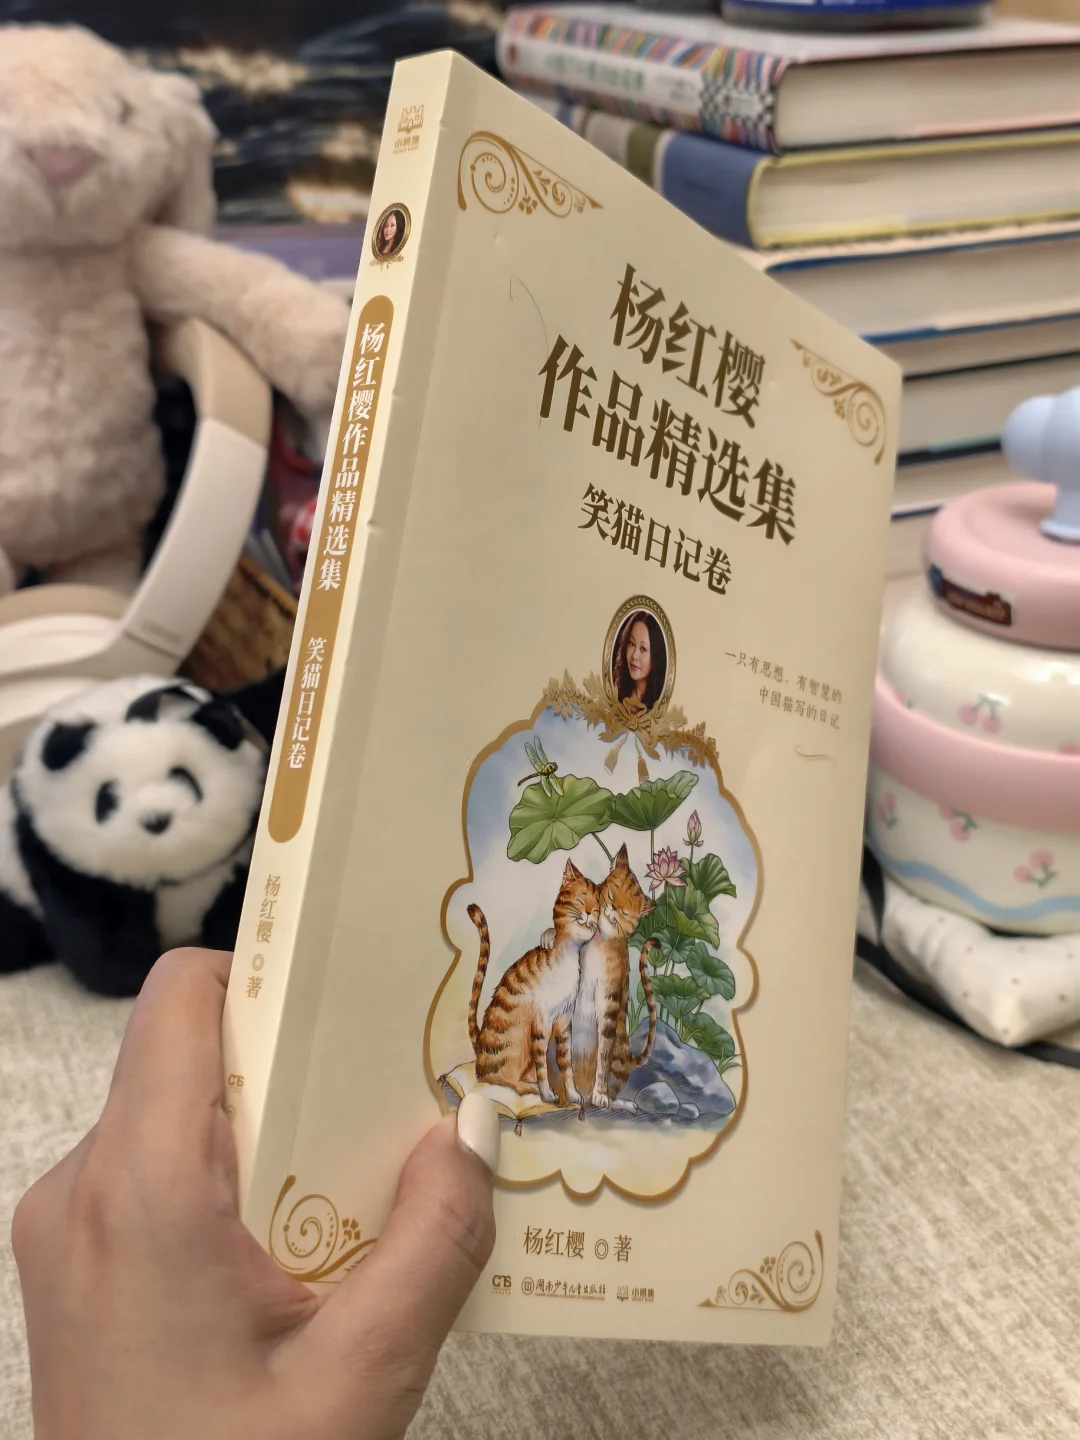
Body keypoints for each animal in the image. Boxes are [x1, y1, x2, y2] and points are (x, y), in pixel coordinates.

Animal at [467, 859, 598, 1105]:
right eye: (581, 898)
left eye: (598, 906)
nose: (590, 912)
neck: (567, 955)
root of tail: (478, 1046)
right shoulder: (541, 1022)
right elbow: (542, 1065)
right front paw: (547, 1093)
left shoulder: (564, 1020)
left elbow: (566, 1063)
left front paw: (573, 1094)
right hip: (517, 1041)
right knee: (508, 1080)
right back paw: (535, 1088)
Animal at [571, 845, 658, 1111]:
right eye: (611, 895)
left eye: (626, 910)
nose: (612, 910)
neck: (602, 942)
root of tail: (629, 1055)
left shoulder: (609, 1001)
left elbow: (603, 1055)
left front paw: (600, 1094)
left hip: (619, 1054)